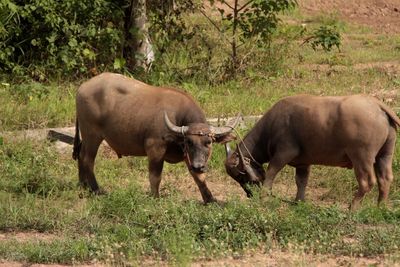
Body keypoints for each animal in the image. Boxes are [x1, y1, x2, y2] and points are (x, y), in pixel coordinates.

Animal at [72, 72, 238, 204]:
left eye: (208, 142)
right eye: (189, 141)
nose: (199, 165)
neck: (178, 118)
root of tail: (82, 87)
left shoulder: (189, 156)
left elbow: (199, 178)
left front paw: (211, 199)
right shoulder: (155, 149)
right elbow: (155, 176)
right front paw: (155, 197)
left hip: (86, 136)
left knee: (80, 154)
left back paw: (83, 185)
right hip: (92, 134)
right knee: (87, 159)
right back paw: (96, 190)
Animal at [225, 95, 400, 210]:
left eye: (241, 176)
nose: (250, 194)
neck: (271, 126)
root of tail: (377, 105)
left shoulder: (284, 153)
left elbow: (271, 172)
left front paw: (264, 197)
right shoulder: (303, 162)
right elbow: (301, 181)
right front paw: (298, 202)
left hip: (361, 157)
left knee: (367, 182)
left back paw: (353, 207)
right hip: (384, 154)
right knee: (385, 178)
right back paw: (380, 207)